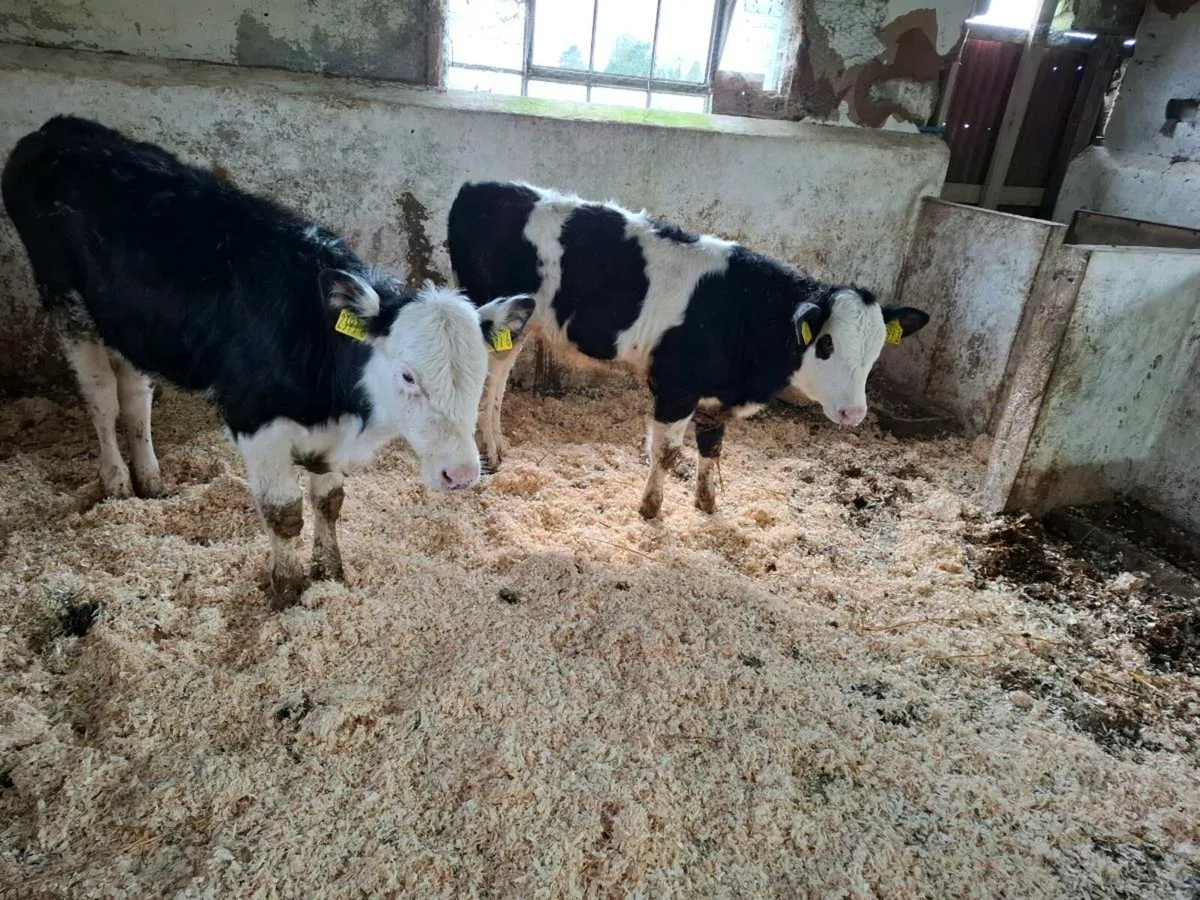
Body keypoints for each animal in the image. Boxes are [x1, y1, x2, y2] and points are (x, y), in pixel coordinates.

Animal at [2, 117, 534, 607]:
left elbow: (329, 502)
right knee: (101, 399)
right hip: (65, 301)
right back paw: (115, 482)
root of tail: (59, 130)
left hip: (129, 325)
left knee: (135, 396)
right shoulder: (254, 419)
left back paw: (149, 479)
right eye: (407, 374)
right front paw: (287, 590)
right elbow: (284, 513)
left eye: (480, 376)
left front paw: (330, 573)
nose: (461, 474)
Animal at [448, 181, 929, 519]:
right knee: (486, 383)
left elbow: (711, 449)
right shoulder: (676, 386)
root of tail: (479, 187)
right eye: (827, 343)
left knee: (497, 384)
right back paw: (489, 453)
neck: (745, 310)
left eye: (875, 353)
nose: (854, 413)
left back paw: (499, 447)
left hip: (519, 325)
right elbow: (667, 453)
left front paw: (706, 502)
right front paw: (650, 508)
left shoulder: (715, 396)